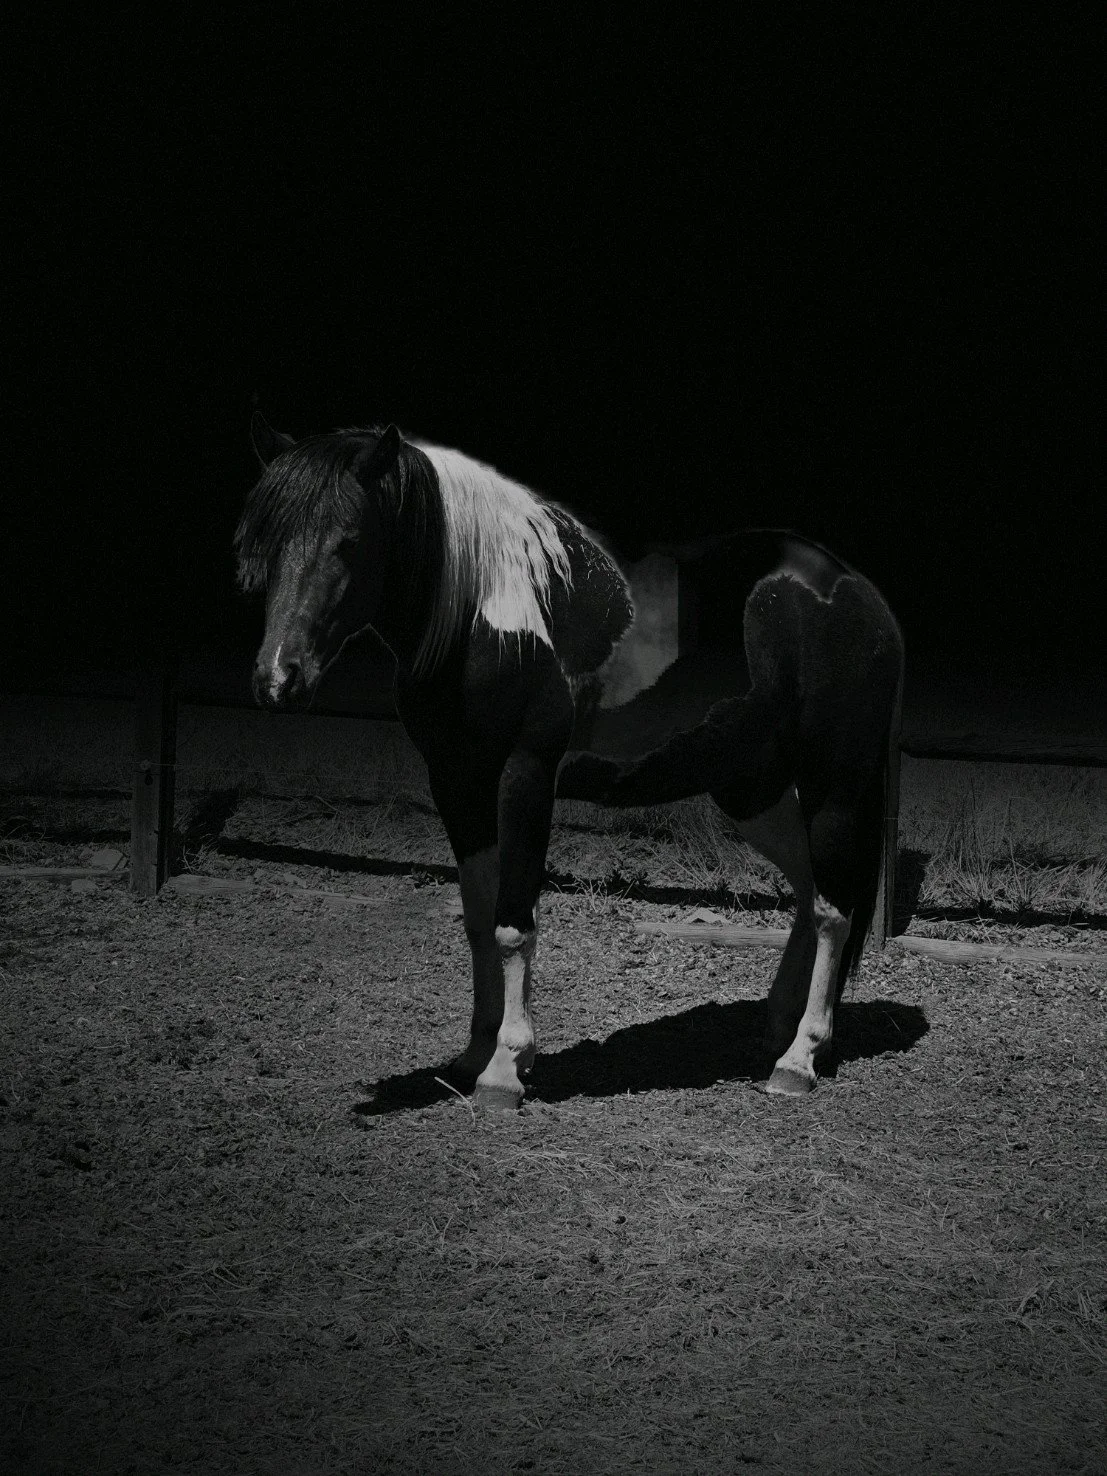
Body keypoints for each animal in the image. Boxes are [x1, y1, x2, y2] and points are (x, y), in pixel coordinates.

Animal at [235, 414, 905, 1109]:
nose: (277, 680)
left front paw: (505, 1069)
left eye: (350, 540)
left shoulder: (524, 776)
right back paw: (777, 1031)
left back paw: (800, 1057)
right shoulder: (457, 782)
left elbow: (513, 923)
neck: (485, 610)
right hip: (751, 787)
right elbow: (479, 918)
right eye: (266, 542)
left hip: (835, 783)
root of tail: (852, 591)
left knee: (833, 908)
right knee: (808, 890)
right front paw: (476, 1051)